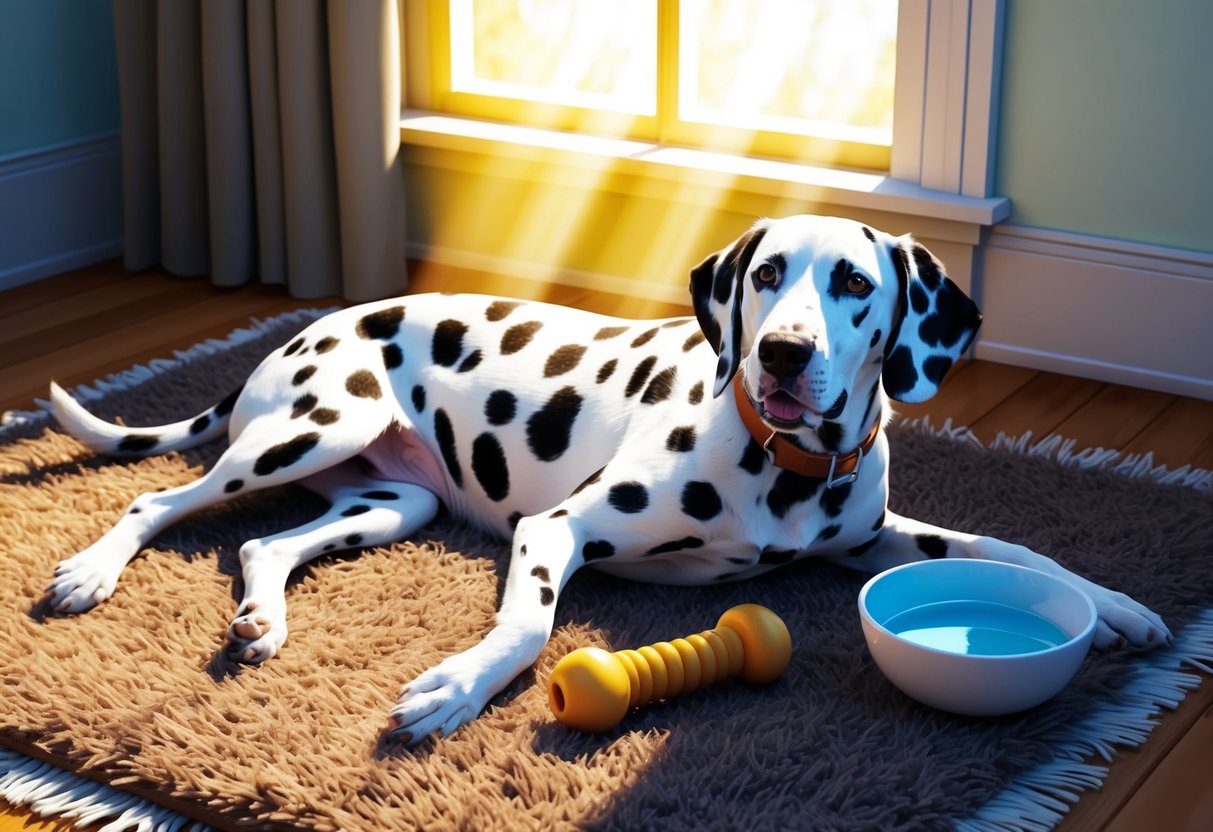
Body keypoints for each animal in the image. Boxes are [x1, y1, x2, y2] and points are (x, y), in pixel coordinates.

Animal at [44, 213, 1164, 742]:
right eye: (767, 274)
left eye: (852, 282)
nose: (783, 354)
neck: (786, 466)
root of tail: (304, 330)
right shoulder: (554, 528)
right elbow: (530, 625)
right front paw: (458, 686)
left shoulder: (871, 533)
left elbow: (1004, 544)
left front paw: (1116, 607)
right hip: (310, 431)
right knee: (158, 498)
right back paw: (91, 572)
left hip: (391, 499)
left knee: (263, 543)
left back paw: (264, 619)